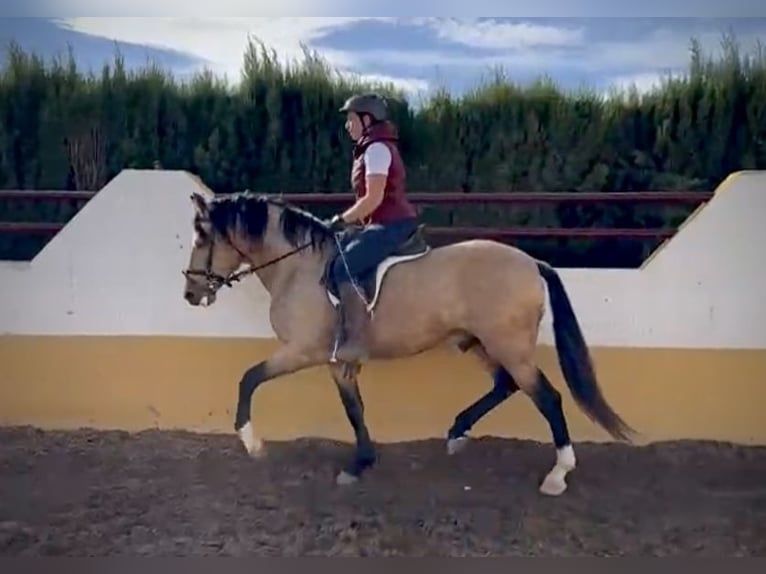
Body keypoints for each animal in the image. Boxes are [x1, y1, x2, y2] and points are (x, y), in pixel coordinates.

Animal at [182, 191, 636, 498]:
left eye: (202, 237)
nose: (190, 293)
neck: (299, 267)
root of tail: (531, 262)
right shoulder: (336, 361)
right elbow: (353, 408)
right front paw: (361, 463)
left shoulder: (303, 351)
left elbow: (249, 378)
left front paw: (251, 441)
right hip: (478, 342)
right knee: (505, 385)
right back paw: (457, 432)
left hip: (509, 346)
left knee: (547, 397)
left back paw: (558, 474)